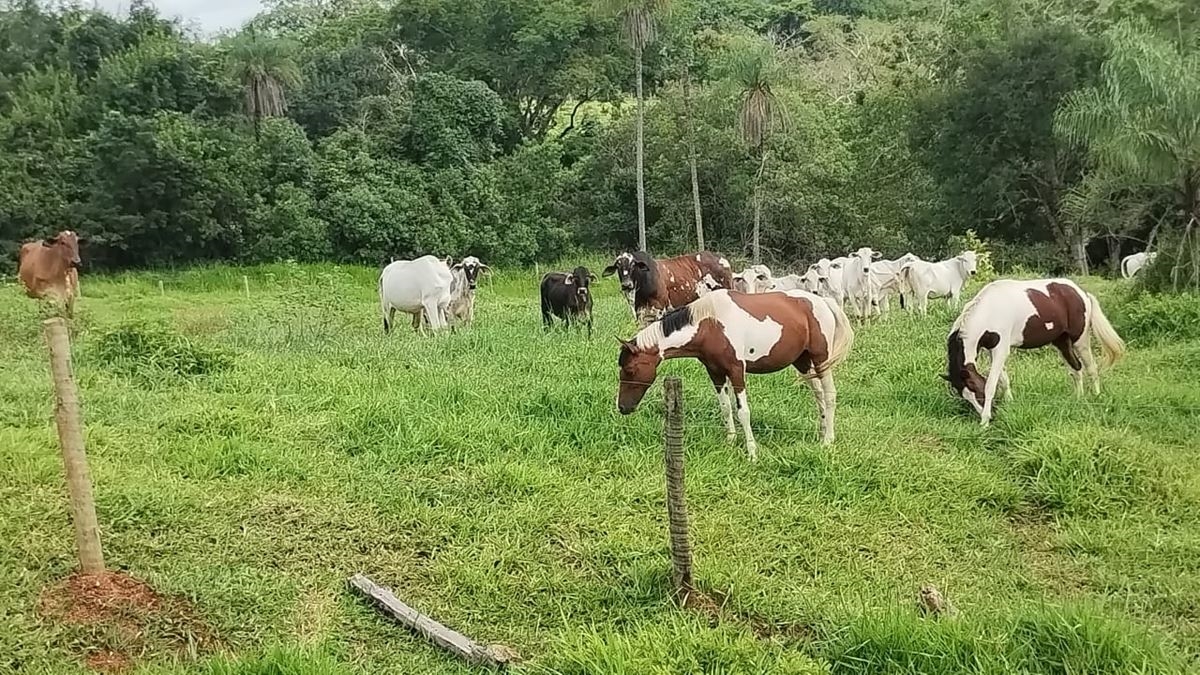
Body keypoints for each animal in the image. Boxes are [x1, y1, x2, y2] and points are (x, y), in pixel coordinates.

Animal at [619, 285, 854, 458]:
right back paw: (821, 433)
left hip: (821, 361)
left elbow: (743, 412)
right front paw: (730, 442)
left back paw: (828, 440)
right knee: (819, 396)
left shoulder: (736, 370)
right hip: (803, 362)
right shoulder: (715, 372)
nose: (622, 407)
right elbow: (725, 407)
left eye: (629, 370)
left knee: (830, 396)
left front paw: (752, 452)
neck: (710, 324)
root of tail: (824, 302)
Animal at [945, 276, 1123, 422]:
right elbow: (1004, 380)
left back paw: (1097, 397)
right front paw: (1009, 404)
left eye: (975, 388)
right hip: (1061, 342)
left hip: (1081, 340)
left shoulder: (1000, 350)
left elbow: (991, 385)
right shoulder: (993, 350)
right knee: (1076, 368)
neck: (989, 311)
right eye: (965, 396)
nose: (992, 415)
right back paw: (1078, 399)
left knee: (1091, 368)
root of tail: (1082, 293)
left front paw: (984, 422)